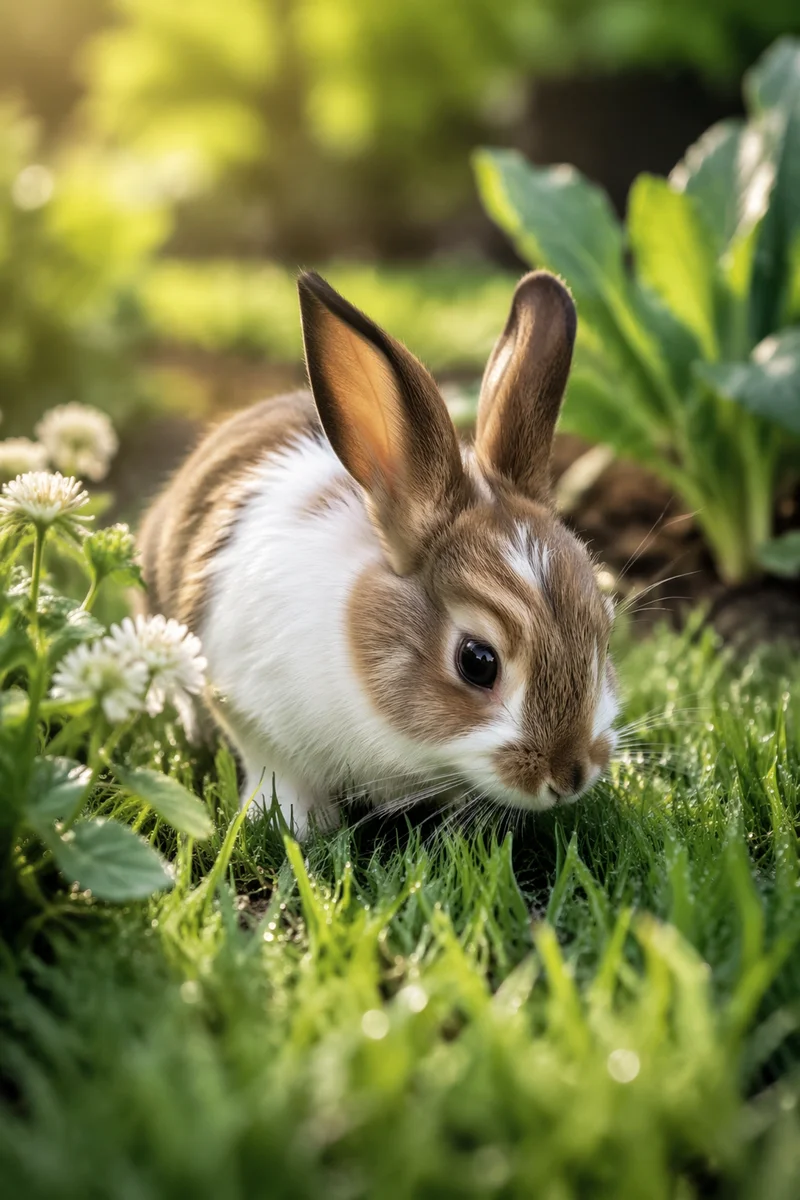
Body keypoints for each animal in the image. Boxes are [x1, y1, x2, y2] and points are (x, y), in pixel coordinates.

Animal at [138, 269, 618, 835]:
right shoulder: (248, 709)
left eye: (604, 633)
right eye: (477, 662)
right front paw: (296, 825)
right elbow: (277, 774)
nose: (569, 776)